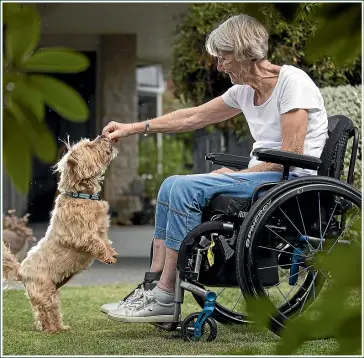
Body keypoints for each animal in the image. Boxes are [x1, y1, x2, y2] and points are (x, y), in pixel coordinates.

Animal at [3, 136, 119, 332]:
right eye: (90, 145)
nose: (103, 136)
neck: (81, 195)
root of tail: (20, 271)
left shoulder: (101, 229)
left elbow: (105, 241)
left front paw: (112, 253)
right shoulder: (83, 235)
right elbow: (96, 242)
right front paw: (108, 257)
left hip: (53, 294)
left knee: (51, 312)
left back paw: (61, 328)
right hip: (44, 292)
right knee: (44, 314)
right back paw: (52, 330)